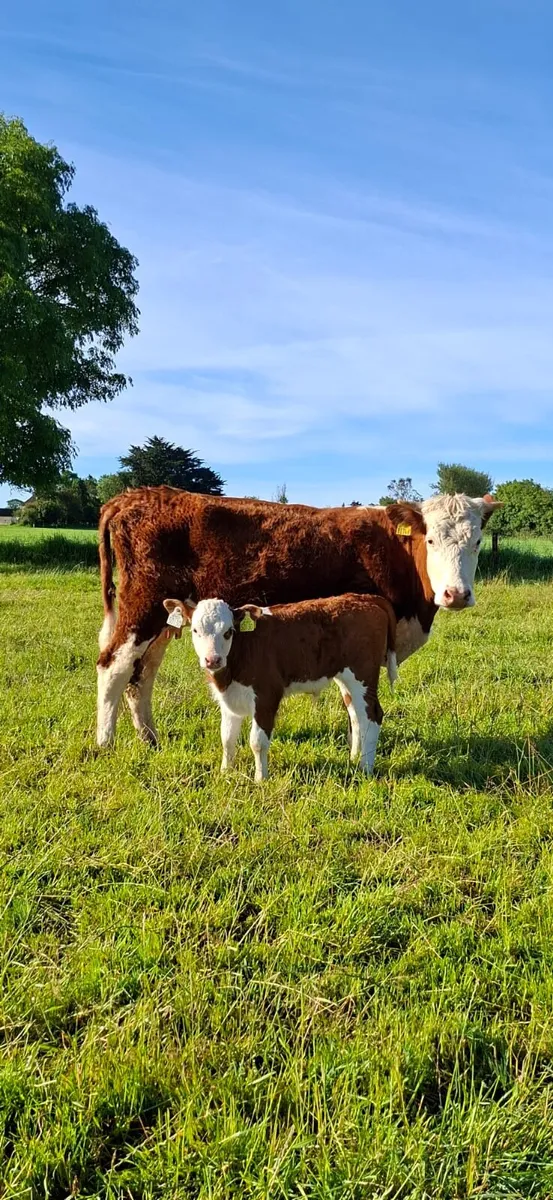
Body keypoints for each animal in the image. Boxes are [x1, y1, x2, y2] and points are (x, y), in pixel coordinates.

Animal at [96, 488, 500, 747]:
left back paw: (150, 738)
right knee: (114, 665)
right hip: (142, 607)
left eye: (478, 542)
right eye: (430, 539)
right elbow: (354, 701)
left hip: (167, 617)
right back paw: (105, 743)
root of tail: (134, 495)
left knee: (142, 675)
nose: (456, 594)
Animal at [163, 594, 397, 780]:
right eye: (195, 630)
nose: (213, 660)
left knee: (373, 716)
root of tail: (365, 597)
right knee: (357, 716)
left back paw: (365, 768)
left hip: (363, 675)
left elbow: (257, 741)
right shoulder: (229, 699)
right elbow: (227, 738)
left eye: (229, 632)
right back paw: (354, 758)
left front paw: (260, 779)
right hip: (346, 678)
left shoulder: (267, 694)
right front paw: (225, 772)